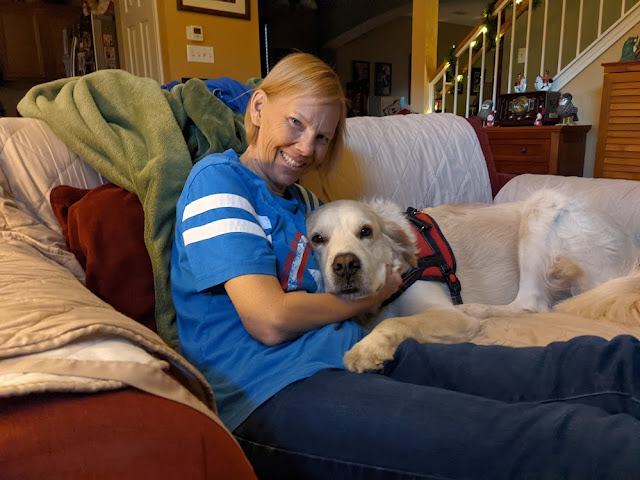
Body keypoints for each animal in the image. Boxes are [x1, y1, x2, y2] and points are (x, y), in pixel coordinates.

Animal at [305, 190, 640, 372]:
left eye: (366, 231)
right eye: (317, 239)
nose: (345, 266)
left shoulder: (445, 315)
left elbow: (395, 322)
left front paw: (367, 349)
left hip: (542, 208)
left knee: (531, 304)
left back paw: (475, 308)